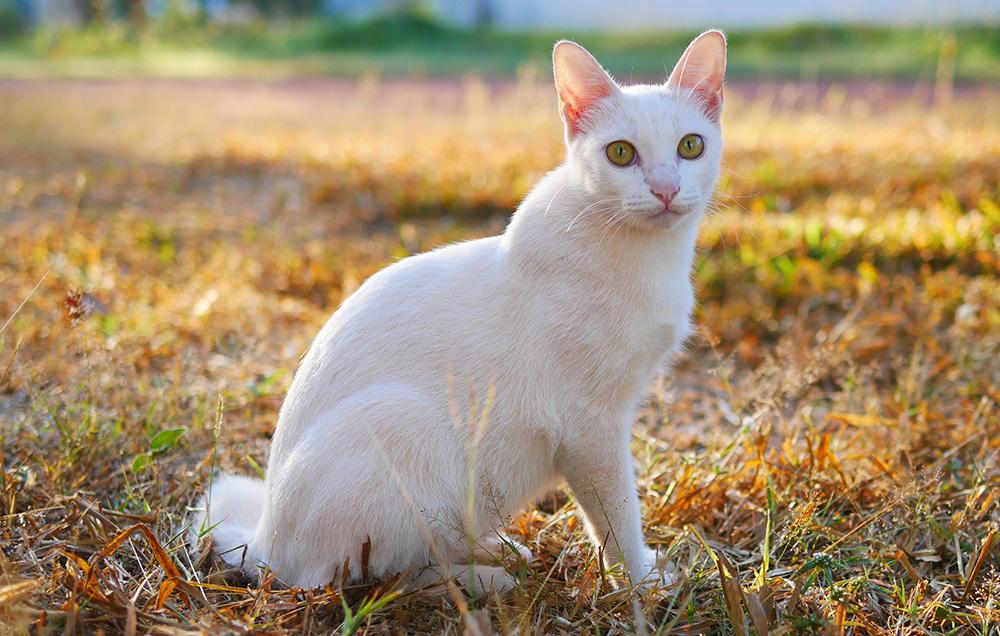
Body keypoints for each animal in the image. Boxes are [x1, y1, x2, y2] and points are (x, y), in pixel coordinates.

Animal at [197, 29, 728, 592]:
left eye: (690, 146)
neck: (648, 256)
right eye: (621, 153)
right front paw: (642, 580)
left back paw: (499, 549)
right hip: (402, 425)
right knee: (386, 577)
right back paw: (485, 579)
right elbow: (617, 515)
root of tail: (264, 541)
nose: (666, 189)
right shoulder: (590, 428)